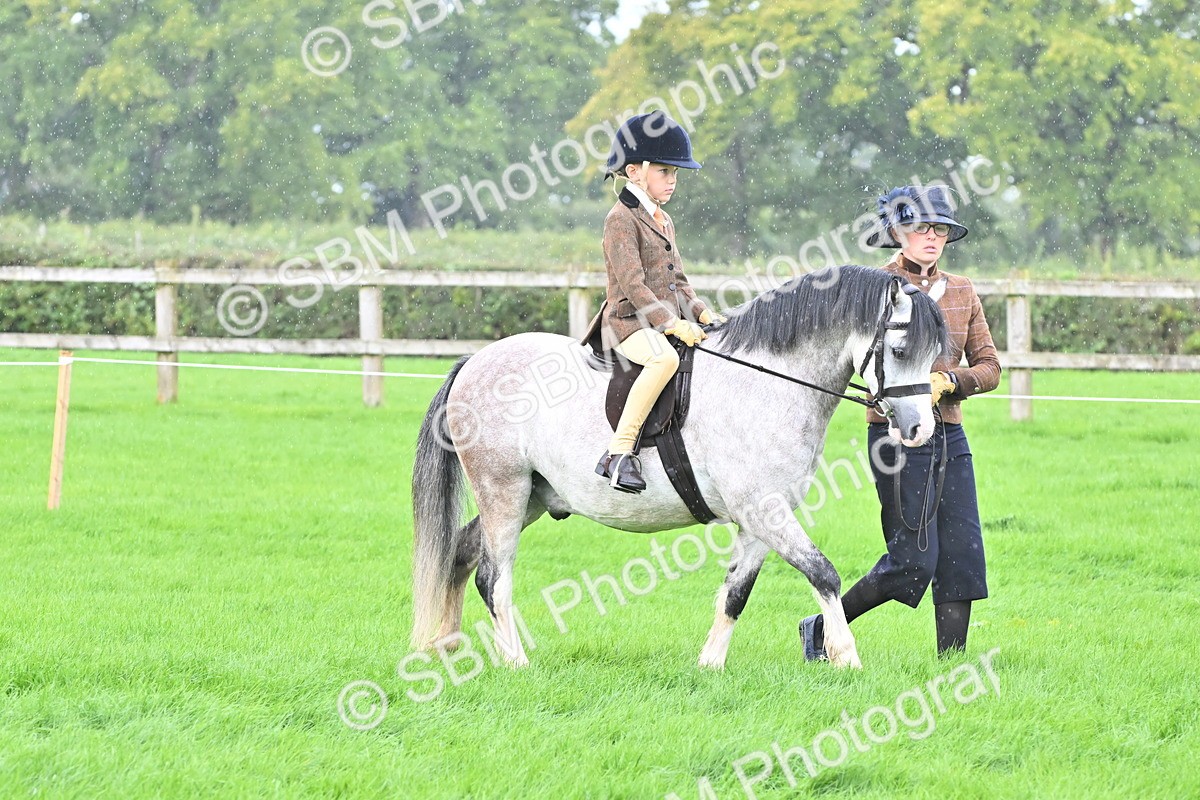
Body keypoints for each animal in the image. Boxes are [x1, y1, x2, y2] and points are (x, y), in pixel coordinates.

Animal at [410, 265, 948, 669]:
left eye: (935, 354)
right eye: (900, 350)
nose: (919, 430)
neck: (769, 384)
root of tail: (474, 361)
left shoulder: (761, 519)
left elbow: (736, 592)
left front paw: (710, 665)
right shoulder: (764, 511)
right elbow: (824, 573)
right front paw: (846, 658)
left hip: (532, 498)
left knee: (461, 552)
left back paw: (448, 646)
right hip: (503, 489)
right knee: (493, 577)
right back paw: (515, 661)